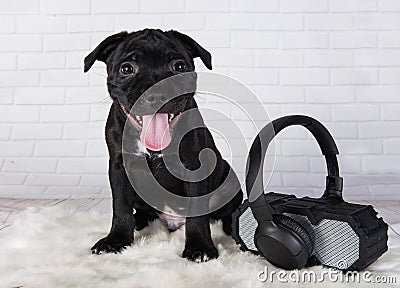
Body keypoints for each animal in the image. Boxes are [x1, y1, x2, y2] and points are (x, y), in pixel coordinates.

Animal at [83, 28, 242, 260]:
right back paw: (138, 222)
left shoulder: (194, 166)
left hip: (229, 181)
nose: (157, 94)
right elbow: (120, 206)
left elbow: (197, 213)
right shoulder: (119, 167)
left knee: (229, 212)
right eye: (127, 68)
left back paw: (233, 228)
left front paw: (200, 246)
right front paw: (116, 239)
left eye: (179, 66)